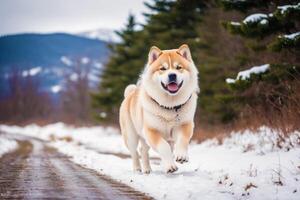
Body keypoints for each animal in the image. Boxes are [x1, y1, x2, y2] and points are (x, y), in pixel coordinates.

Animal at [119, 44, 199, 173]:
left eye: (179, 67)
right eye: (162, 69)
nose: (172, 75)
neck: (170, 106)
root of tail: (130, 94)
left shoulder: (184, 125)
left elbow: (182, 140)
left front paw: (181, 156)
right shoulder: (152, 131)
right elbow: (163, 147)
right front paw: (170, 166)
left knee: (143, 150)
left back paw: (147, 170)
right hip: (131, 136)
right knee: (134, 152)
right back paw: (137, 168)